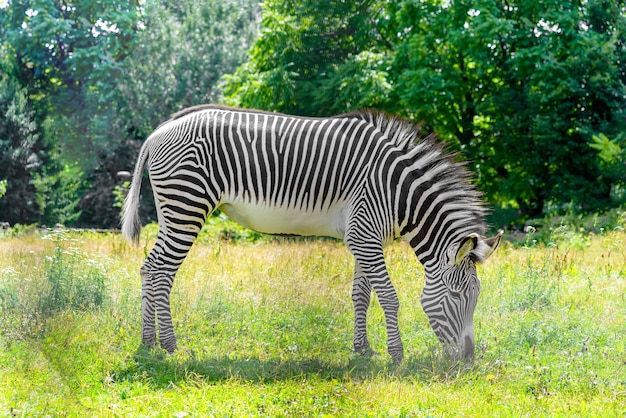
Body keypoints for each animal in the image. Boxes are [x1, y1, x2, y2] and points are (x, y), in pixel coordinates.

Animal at [122, 104, 502, 362]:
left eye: (477, 296)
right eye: (456, 296)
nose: (468, 358)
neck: (397, 190)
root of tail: (159, 130)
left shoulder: (364, 237)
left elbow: (361, 295)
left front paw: (363, 350)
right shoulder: (365, 235)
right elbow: (389, 297)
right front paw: (397, 354)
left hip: (174, 211)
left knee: (149, 268)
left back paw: (148, 342)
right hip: (186, 206)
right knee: (161, 271)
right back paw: (169, 345)